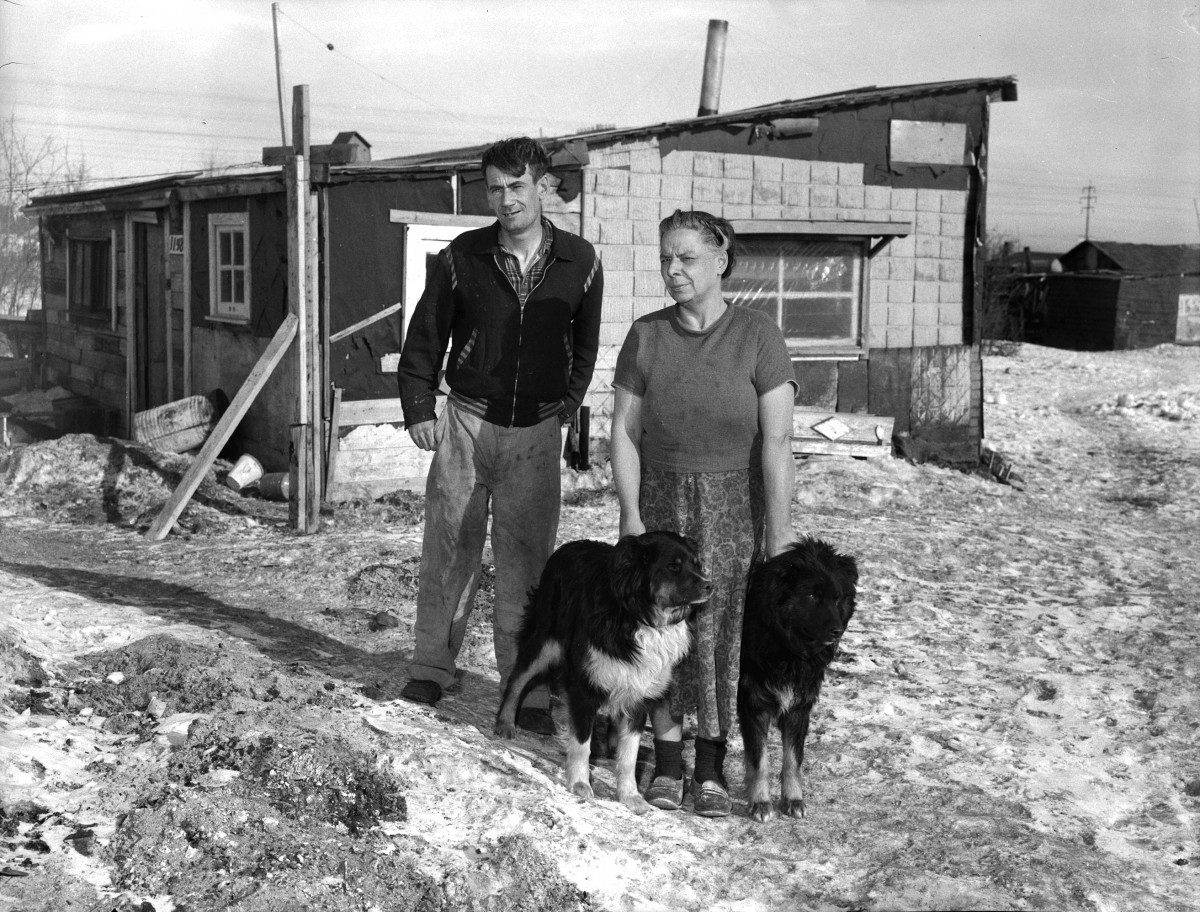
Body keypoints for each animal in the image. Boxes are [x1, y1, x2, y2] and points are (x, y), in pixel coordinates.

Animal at [496, 530, 710, 816]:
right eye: (673, 566)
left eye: (696, 564)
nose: (710, 585)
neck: (639, 616)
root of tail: (569, 545)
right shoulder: (584, 686)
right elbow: (580, 743)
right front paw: (579, 783)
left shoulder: (638, 694)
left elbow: (629, 756)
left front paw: (630, 796)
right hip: (545, 640)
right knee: (517, 679)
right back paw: (505, 722)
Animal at [734, 537, 859, 820]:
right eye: (812, 596)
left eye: (837, 598)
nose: (837, 631)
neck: (787, 649)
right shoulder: (753, 704)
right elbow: (760, 760)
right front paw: (760, 802)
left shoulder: (799, 707)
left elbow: (793, 758)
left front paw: (793, 799)